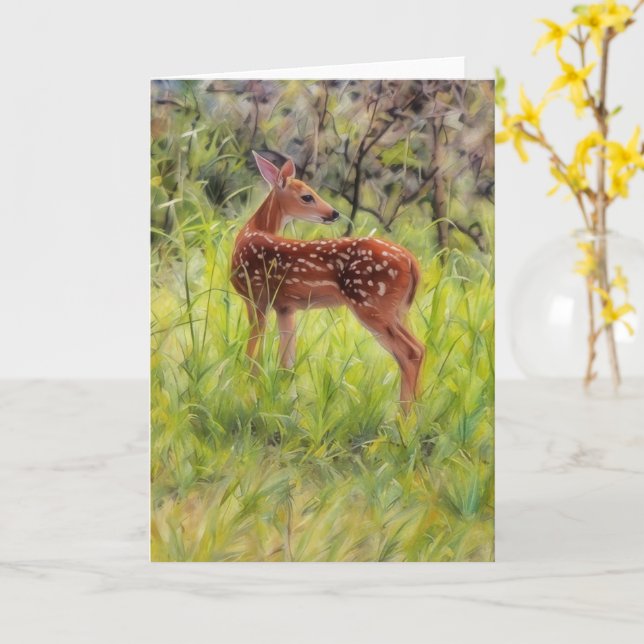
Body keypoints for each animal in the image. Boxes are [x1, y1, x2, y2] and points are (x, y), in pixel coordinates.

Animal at [230, 152, 425, 412]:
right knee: (419, 348)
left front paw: (249, 390)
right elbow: (286, 361)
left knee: (410, 351)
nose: (334, 213)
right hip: (399, 310)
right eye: (307, 196)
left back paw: (403, 416)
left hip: (371, 303)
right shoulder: (284, 306)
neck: (250, 233)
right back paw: (416, 412)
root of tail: (412, 261)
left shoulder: (256, 296)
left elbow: (254, 349)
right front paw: (282, 402)